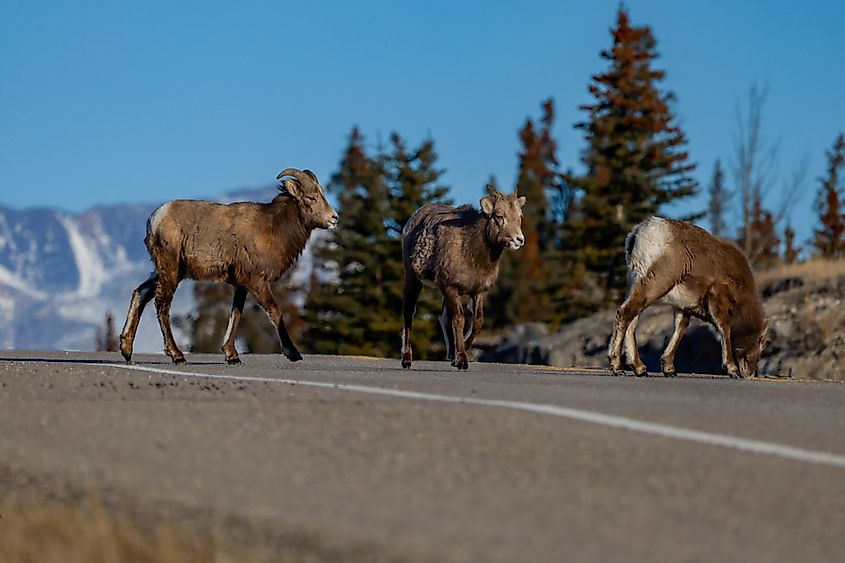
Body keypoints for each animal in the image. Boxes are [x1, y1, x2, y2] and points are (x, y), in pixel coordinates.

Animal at [119, 168, 338, 365]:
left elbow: (236, 314)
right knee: (162, 304)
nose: (334, 218)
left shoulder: (241, 285)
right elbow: (275, 311)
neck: (272, 230)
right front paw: (293, 354)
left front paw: (232, 356)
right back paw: (177, 356)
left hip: (168, 271)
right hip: (170, 269)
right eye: (311, 197)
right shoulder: (257, 281)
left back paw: (127, 351)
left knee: (140, 293)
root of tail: (155, 219)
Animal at [401, 186, 526, 370]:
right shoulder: (451, 287)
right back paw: (407, 360)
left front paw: (462, 351)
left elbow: (478, 321)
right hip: (412, 278)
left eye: (519, 217)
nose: (519, 240)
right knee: (409, 313)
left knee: (443, 317)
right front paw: (461, 360)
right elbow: (459, 320)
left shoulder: (479, 291)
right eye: (498, 216)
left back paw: (450, 355)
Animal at [608, 216, 768, 379]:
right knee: (625, 314)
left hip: (636, 285)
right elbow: (725, 328)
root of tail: (638, 233)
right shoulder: (717, 297)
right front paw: (732, 369)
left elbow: (681, 328)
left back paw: (640, 369)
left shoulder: (683, 306)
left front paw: (669, 370)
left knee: (632, 321)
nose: (750, 374)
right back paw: (617, 367)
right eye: (759, 346)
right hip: (653, 285)